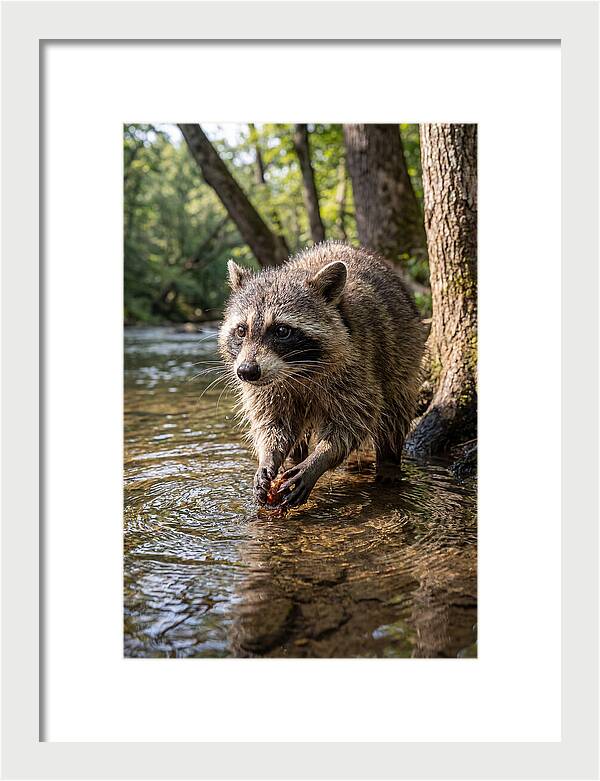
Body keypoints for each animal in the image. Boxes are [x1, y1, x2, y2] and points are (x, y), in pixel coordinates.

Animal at [218, 242, 425, 508]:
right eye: (241, 331)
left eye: (282, 330)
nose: (246, 372)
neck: (296, 370)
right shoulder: (267, 387)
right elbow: (272, 423)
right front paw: (268, 456)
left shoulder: (358, 365)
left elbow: (354, 421)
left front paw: (320, 458)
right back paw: (294, 457)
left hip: (404, 350)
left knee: (395, 411)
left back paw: (389, 461)